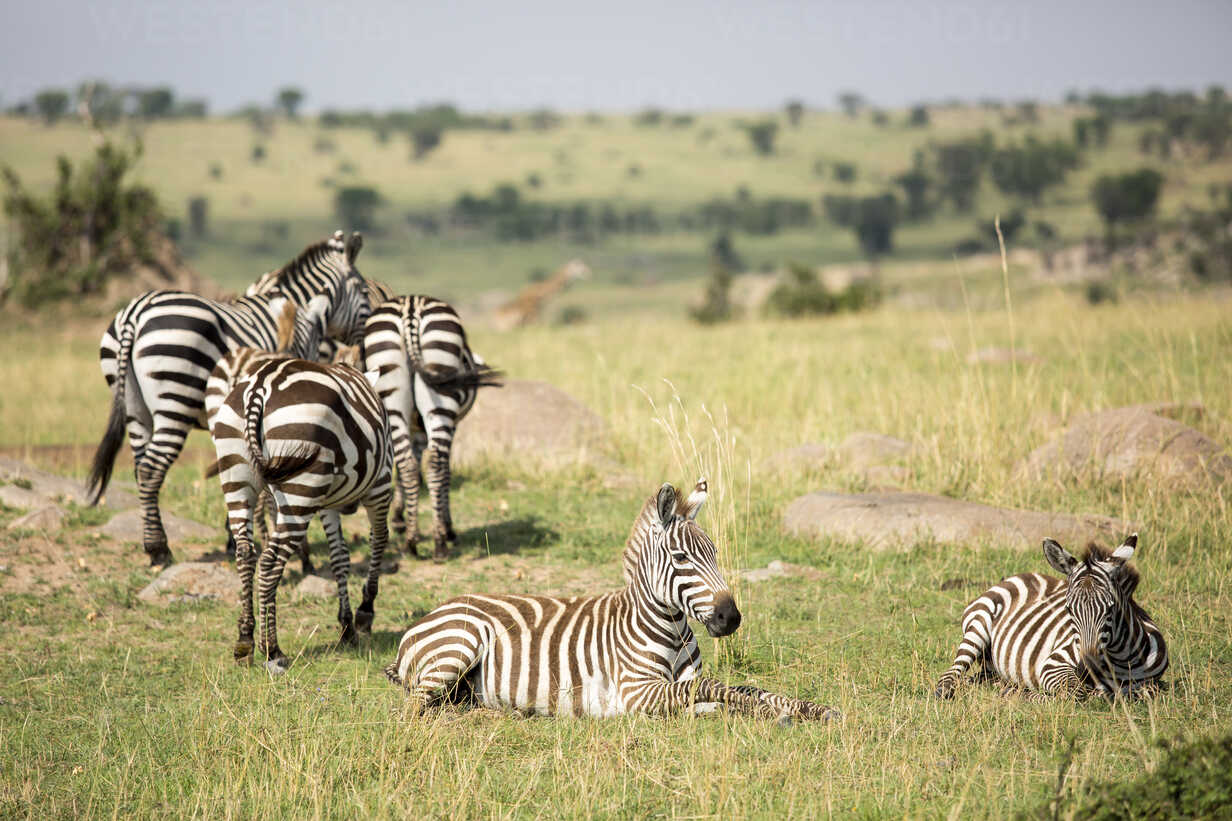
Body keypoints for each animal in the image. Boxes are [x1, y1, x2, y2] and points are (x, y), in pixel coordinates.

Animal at [87, 232, 370, 566]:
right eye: (364, 290)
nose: (363, 347)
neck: (299, 312)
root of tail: (135, 312)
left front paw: (233, 538)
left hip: (134, 406)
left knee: (140, 466)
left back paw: (151, 543)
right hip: (175, 394)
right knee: (151, 468)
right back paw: (159, 549)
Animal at [205, 349, 393, 672]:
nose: (350, 508)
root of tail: (260, 386)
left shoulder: (328, 505)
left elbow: (340, 557)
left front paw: (346, 626)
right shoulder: (381, 486)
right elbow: (378, 540)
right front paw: (364, 614)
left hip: (236, 473)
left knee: (246, 553)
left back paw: (245, 641)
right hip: (301, 489)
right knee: (270, 562)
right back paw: (272, 650)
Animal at [363, 295, 501, 561]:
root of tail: (411, 307)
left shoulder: (414, 430)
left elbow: (408, 469)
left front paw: (399, 519)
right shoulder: (450, 428)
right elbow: (445, 472)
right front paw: (448, 527)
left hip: (392, 396)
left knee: (408, 465)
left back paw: (411, 543)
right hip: (442, 401)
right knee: (436, 465)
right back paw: (439, 542)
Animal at [385, 480, 837, 721]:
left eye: (713, 553)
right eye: (681, 558)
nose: (731, 617)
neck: (669, 628)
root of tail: (434, 611)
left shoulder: (678, 688)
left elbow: (743, 688)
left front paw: (809, 708)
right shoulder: (637, 691)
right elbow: (721, 689)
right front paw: (772, 713)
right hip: (459, 644)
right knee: (415, 708)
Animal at [934, 534, 1168, 700]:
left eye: (1110, 609)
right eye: (1069, 609)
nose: (1086, 669)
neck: (1120, 659)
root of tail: (1022, 574)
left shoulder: (1151, 685)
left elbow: (1146, 691)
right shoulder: (1053, 664)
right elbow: (1075, 692)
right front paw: (1026, 695)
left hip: (992, 666)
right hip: (979, 623)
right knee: (951, 674)